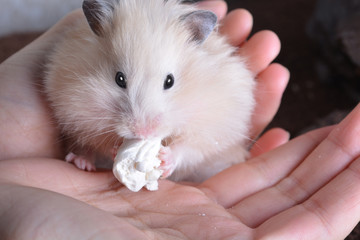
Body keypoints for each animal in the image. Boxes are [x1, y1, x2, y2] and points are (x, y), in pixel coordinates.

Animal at [43, 0, 255, 181]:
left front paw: (165, 158)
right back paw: (81, 162)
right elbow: (99, 140)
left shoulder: (215, 126)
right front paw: (115, 149)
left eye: (170, 81)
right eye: (119, 79)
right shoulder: (77, 110)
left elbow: (191, 147)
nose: (143, 133)